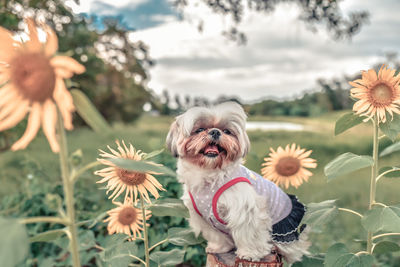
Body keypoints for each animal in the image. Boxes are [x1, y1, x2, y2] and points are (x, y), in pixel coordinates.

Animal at [166, 102, 310, 266]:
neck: (209, 175)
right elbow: (217, 236)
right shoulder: (204, 219)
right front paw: (219, 247)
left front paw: (249, 254)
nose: (215, 132)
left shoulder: (245, 211)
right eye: (200, 129)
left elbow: (249, 235)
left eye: (227, 131)